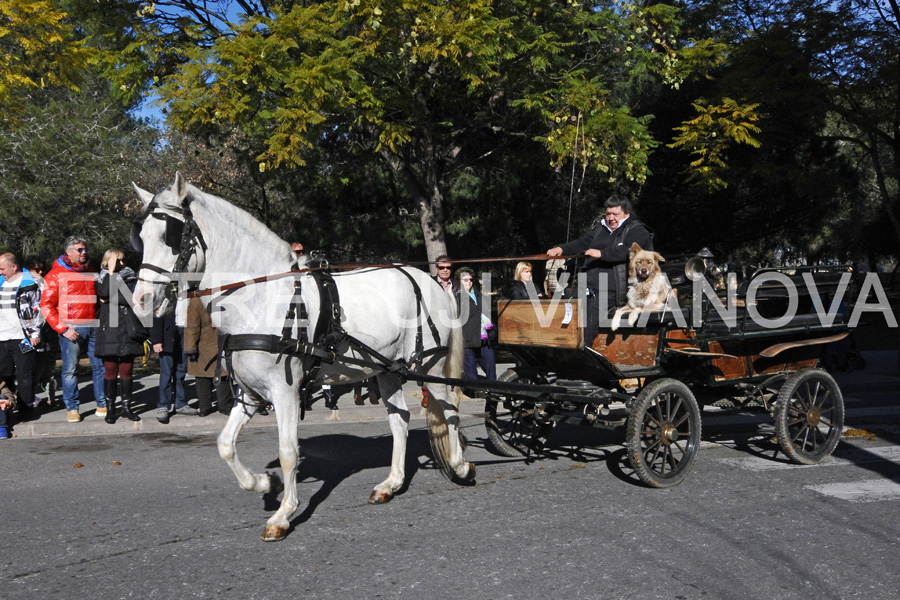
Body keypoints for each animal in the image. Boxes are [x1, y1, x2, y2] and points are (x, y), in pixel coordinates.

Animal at [132, 171, 478, 540]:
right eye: (141, 237)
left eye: (169, 236)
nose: (140, 299)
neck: (261, 298)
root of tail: (429, 281)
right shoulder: (251, 394)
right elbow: (225, 444)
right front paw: (264, 483)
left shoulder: (285, 392)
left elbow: (288, 452)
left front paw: (283, 514)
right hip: (388, 370)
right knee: (400, 420)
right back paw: (391, 483)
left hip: (429, 364)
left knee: (450, 410)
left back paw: (461, 465)